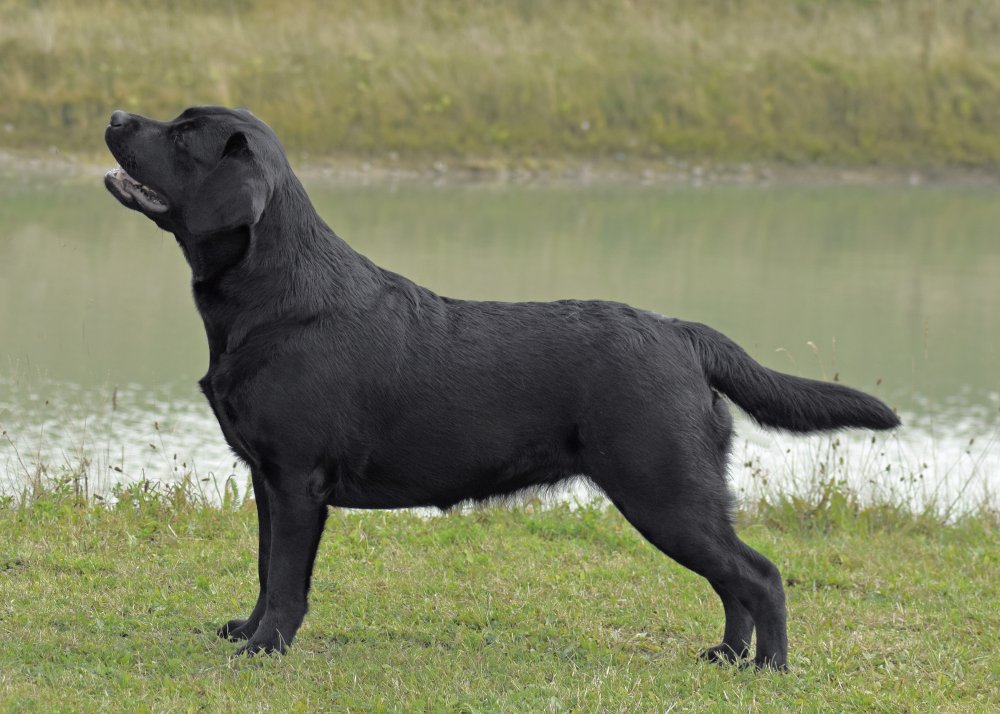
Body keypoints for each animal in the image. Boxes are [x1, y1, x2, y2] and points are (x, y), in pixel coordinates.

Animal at [104, 106, 899, 668]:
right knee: (735, 580)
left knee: (759, 575)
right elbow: (268, 571)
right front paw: (246, 629)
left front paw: (266, 648)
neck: (276, 297)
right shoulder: (268, 480)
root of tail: (683, 332)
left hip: (665, 490)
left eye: (184, 136)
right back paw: (728, 657)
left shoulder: (298, 482)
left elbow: (289, 581)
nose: (114, 116)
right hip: (676, 496)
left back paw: (768, 668)